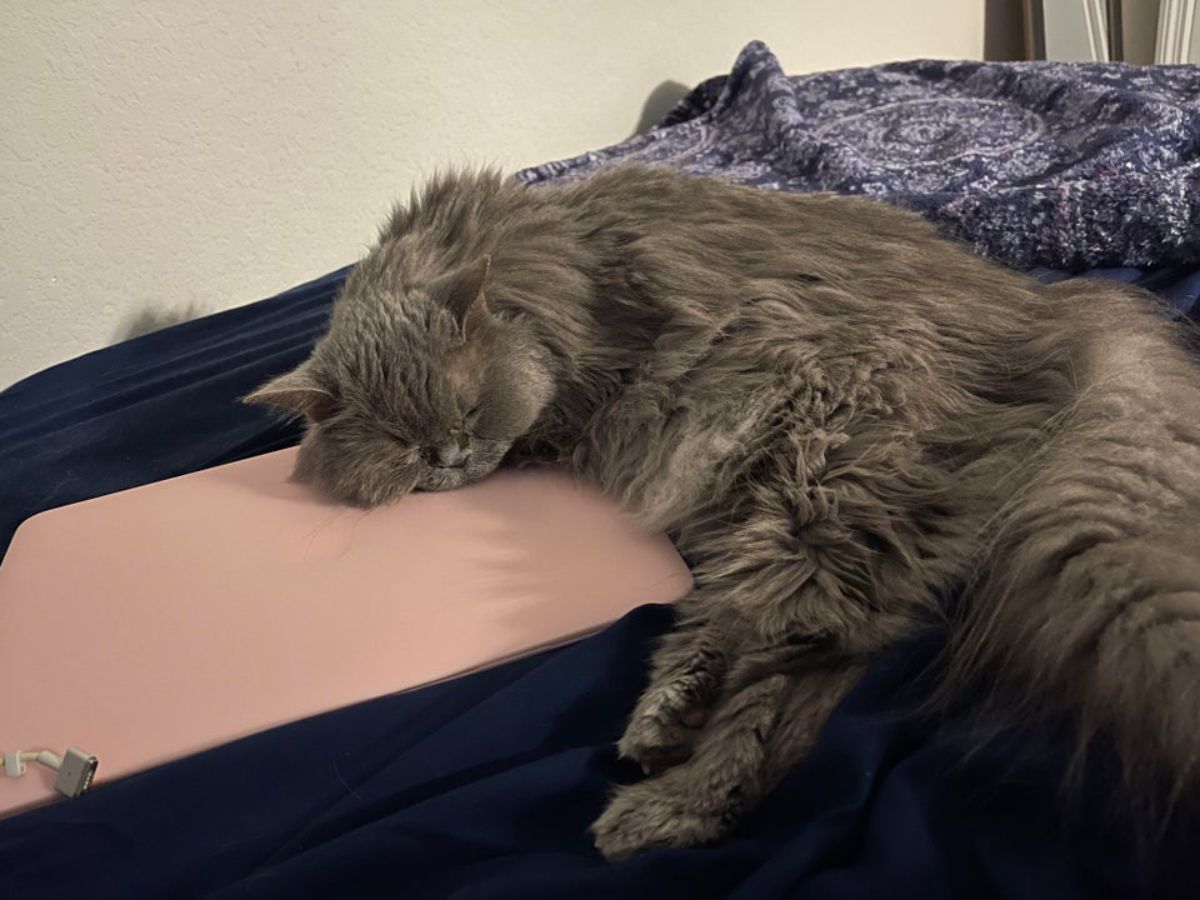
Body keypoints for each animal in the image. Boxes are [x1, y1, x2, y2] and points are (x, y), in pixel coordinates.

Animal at [243, 165, 1200, 864]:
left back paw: (658, 808)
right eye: (402, 445)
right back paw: (662, 730)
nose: (448, 459)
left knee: (789, 689)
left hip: (818, 485)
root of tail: (1056, 310)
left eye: (467, 413)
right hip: (775, 515)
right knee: (797, 658)